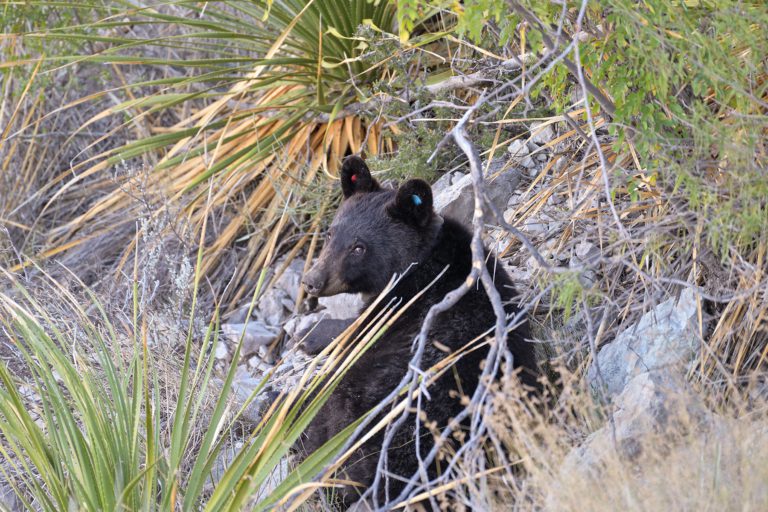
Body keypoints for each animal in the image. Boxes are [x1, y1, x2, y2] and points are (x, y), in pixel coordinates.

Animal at [297, 155, 539, 509]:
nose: (312, 281)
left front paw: (312, 334)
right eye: (329, 234)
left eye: (359, 248)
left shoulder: (395, 307)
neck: (421, 264)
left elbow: (354, 332)